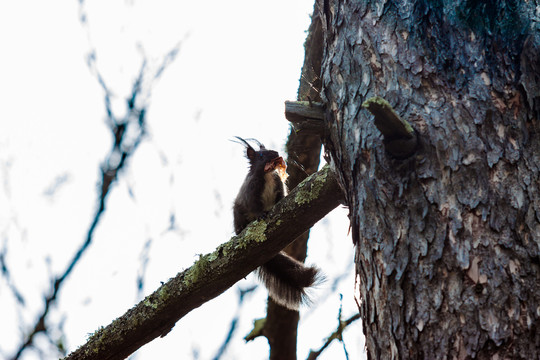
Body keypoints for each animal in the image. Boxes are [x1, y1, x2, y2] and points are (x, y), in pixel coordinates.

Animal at [233, 136, 320, 310]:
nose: (276, 154)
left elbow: (281, 197)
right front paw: (261, 214)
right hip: (237, 212)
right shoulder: (251, 192)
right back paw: (240, 229)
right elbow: (254, 206)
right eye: (261, 156)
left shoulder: (278, 184)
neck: (267, 175)